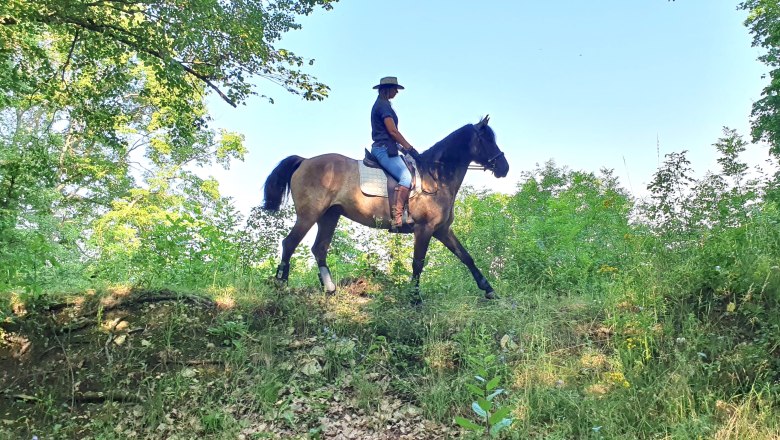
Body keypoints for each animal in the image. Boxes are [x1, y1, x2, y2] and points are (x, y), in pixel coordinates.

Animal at [261, 116, 510, 300]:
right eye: (486, 139)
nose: (504, 167)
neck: (436, 176)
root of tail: (304, 160)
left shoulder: (442, 230)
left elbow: (466, 257)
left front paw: (489, 290)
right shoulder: (424, 229)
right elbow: (418, 263)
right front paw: (415, 298)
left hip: (329, 216)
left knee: (319, 248)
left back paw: (330, 289)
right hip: (309, 215)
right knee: (290, 243)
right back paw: (281, 284)